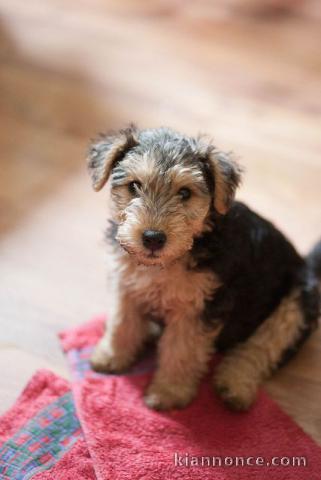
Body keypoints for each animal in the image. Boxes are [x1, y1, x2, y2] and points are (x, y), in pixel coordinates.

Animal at [86, 125, 318, 410]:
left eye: (185, 193)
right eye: (134, 186)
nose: (153, 238)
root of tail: (305, 263)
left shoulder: (199, 308)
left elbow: (182, 350)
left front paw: (168, 393)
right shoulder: (126, 285)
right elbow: (121, 323)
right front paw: (111, 356)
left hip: (296, 303)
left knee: (263, 346)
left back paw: (234, 386)